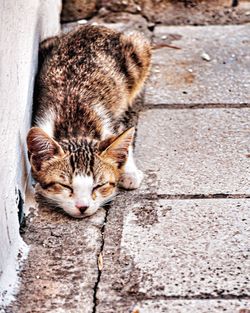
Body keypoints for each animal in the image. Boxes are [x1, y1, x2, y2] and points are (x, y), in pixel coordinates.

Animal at [27, 24, 152, 217]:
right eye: (65, 186)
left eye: (98, 186)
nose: (82, 206)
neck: (75, 127)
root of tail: (93, 26)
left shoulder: (112, 123)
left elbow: (124, 139)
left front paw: (129, 173)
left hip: (138, 50)